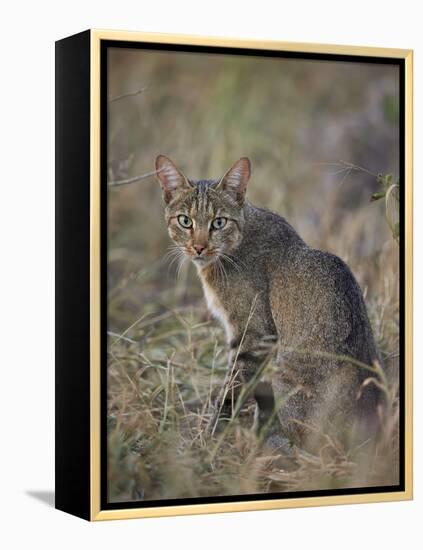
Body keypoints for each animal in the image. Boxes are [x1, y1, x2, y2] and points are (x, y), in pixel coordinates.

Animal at [156, 154, 384, 452]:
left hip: (285, 374)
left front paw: (211, 439)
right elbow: (259, 400)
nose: (199, 247)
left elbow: (231, 393)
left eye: (218, 222)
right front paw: (255, 436)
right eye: (185, 221)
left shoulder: (254, 336)